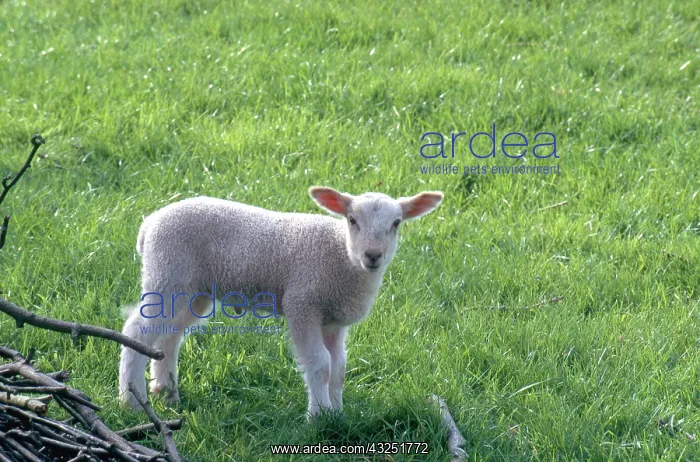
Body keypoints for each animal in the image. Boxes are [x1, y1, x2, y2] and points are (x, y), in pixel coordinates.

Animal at [118, 186, 443, 417]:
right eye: (352, 221)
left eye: (396, 223)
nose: (373, 255)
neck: (342, 256)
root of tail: (149, 224)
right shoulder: (303, 304)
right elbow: (320, 364)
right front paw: (319, 415)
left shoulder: (334, 320)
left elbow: (338, 367)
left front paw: (338, 412)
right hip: (167, 275)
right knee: (137, 331)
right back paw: (131, 401)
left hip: (190, 291)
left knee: (170, 335)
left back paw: (166, 390)